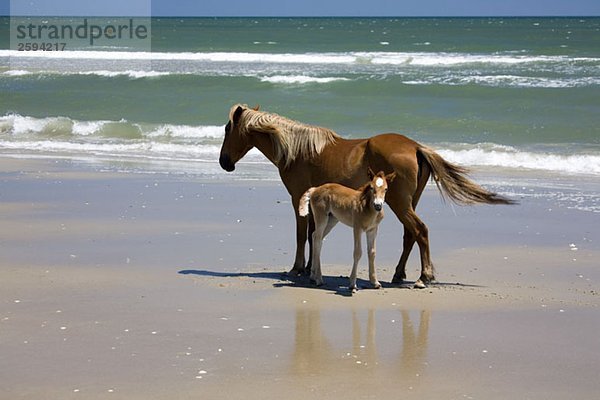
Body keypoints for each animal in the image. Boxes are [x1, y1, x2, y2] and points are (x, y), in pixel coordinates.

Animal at [220, 104, 516, 290]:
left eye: (226, 129)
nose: (224, 162)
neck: (298, 150)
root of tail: (415, 147)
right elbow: (314, 236)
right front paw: (310, 270)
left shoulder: (297, 199)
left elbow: (301, 235)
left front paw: (297, 268)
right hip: (408, 203)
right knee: (410, 235)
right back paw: (399, 274)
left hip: (399, 203)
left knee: (420, 231)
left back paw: (424, 277)